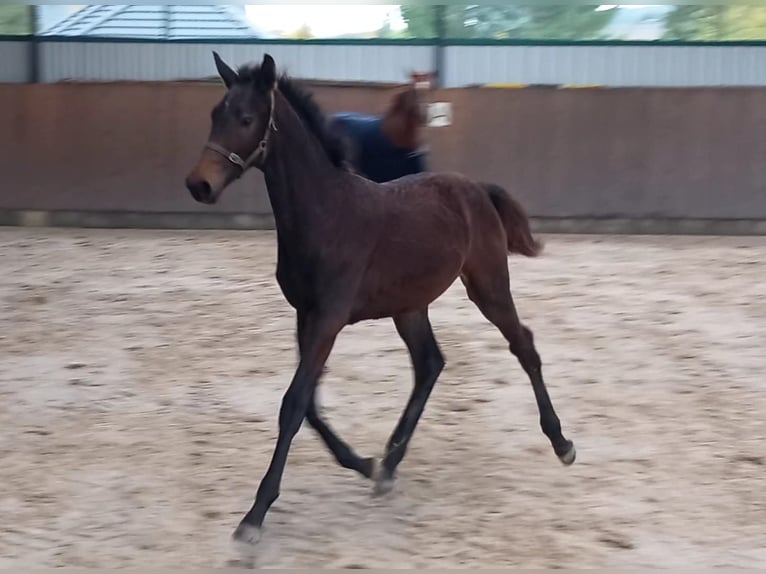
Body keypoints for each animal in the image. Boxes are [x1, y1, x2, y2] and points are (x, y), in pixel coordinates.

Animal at [183, 51, 572, 548]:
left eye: (247, 118)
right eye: (216, 114)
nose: (199, 184)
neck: (325, 213)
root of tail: (477, 188)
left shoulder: (328, 318)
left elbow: (294, 404)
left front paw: (254, 515)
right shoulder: (305, 315)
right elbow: (309, 404)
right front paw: (364, 464)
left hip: (487, 284)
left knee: (522, 345)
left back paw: (561, 443)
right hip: (410, 306)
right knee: (430, 363)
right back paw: (388, 465)